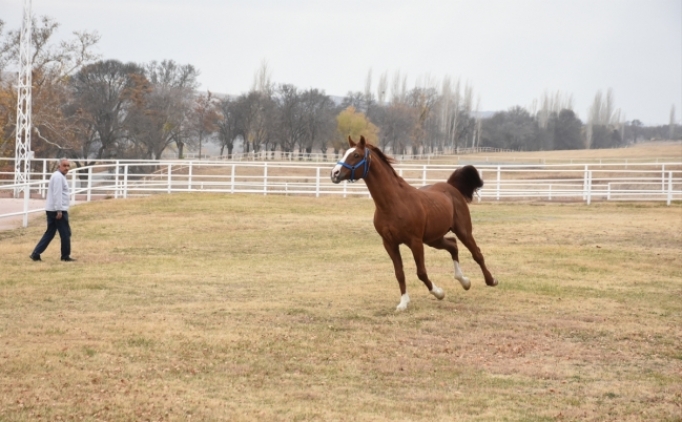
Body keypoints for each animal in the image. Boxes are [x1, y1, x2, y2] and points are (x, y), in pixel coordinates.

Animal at [328, 137, 494, 312]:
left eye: (356, 155)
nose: (334, 173)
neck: (392, 204)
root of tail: (450, 186)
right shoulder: (389, 243)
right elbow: (399, 273)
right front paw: (403, 303)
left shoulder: (415, 242)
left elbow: (421, 272)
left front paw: (439, 293)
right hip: (433, 239)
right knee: (453, 246)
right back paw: (465, 281)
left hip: (463, 231)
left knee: (476, 254)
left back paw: (490, 280)